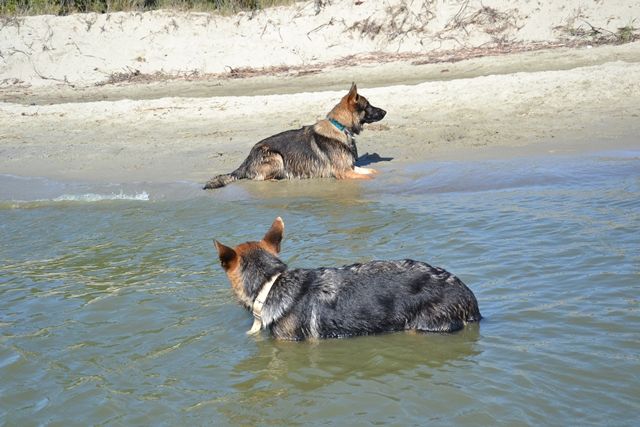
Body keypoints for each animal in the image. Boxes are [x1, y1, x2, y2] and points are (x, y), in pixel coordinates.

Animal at [203, 84, 386, 189]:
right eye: (368, 106)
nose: (385, 111)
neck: (340, 127)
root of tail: (247, 159)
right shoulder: (345, 172)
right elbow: (370, 176)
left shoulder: (351, 167)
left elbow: (374, 172)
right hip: (276, 157)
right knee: (260, 179)